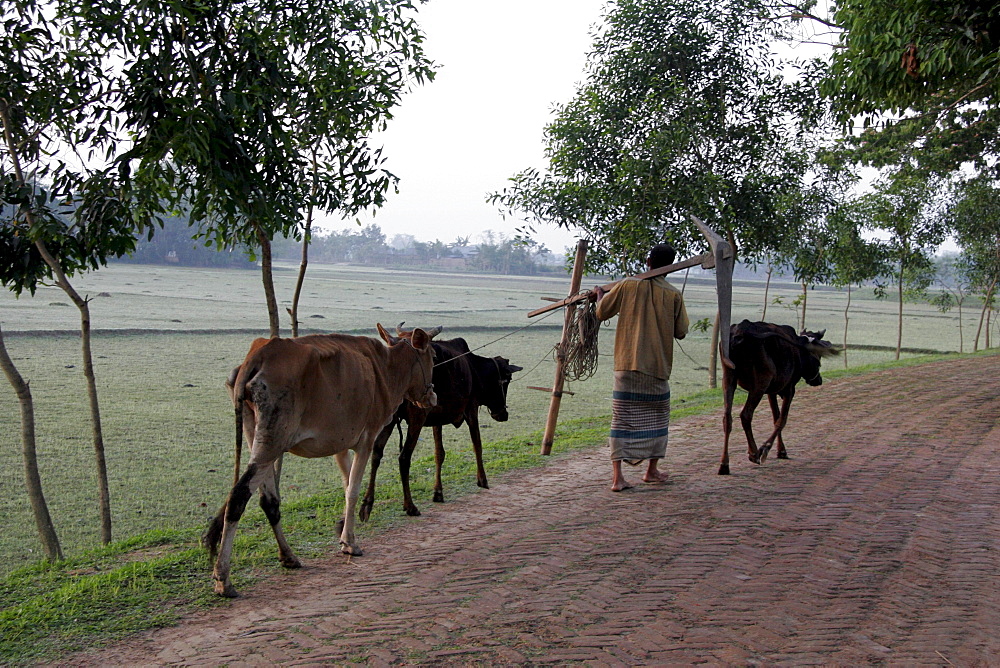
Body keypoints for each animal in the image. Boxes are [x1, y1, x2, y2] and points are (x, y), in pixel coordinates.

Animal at [202, 324, 438, 596]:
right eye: (433, 355)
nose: (432, 397)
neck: (385, 367)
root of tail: (259, 353)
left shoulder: (339, 445)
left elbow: (346, 486)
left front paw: (343, 532)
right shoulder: (366, 440)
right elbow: (352, 490)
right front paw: (350, 543)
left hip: (257, 435)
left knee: (268, 500)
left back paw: (288, 556)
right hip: (273, 441)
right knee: (238, 496)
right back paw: (223, 578)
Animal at [720, 320, 836, 472]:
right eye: (818, 355)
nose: (819, 380)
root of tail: (740, 332)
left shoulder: (772, 391)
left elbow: (776, 417)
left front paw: (781, 450)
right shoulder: (789, 389)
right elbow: (782, 420)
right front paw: (765, 449)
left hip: (728, 378)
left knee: (727, 418)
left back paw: (724, 464)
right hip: (760, 382)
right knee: (745, 415)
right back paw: (754, 453)